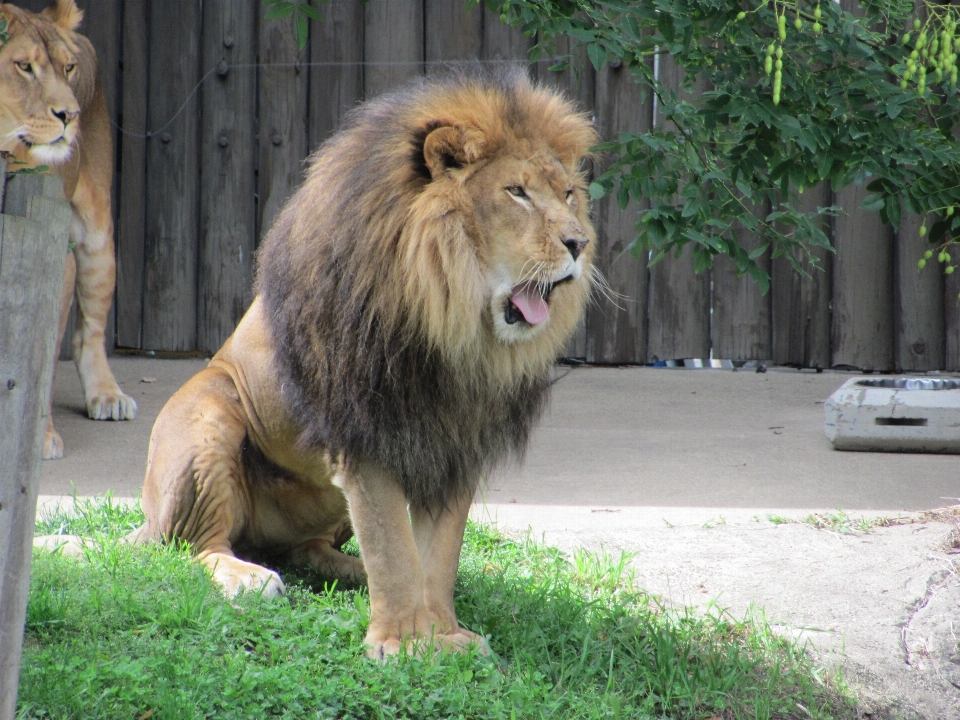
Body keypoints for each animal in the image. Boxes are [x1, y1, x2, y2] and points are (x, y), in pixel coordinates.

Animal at [0, 0, 136, 458]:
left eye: (68, 68)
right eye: (24, 66)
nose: (70, 115)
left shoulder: (56, 258)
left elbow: (41, 354)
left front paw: (39, 438)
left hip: (96, 237)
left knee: (88, 334)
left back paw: (108, 397)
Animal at [132, 71, 596, 660]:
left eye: (568, 194)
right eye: (517, 192)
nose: (579, 243)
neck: (451, 324)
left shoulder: (455, 442)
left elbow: (437, 555)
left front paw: (444, 635)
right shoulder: (366, 433)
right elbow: (392, 547)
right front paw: (400, 644)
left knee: (304, 550)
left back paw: (349, 573)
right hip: (208, 414)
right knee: (196, 545)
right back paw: (248, 577)